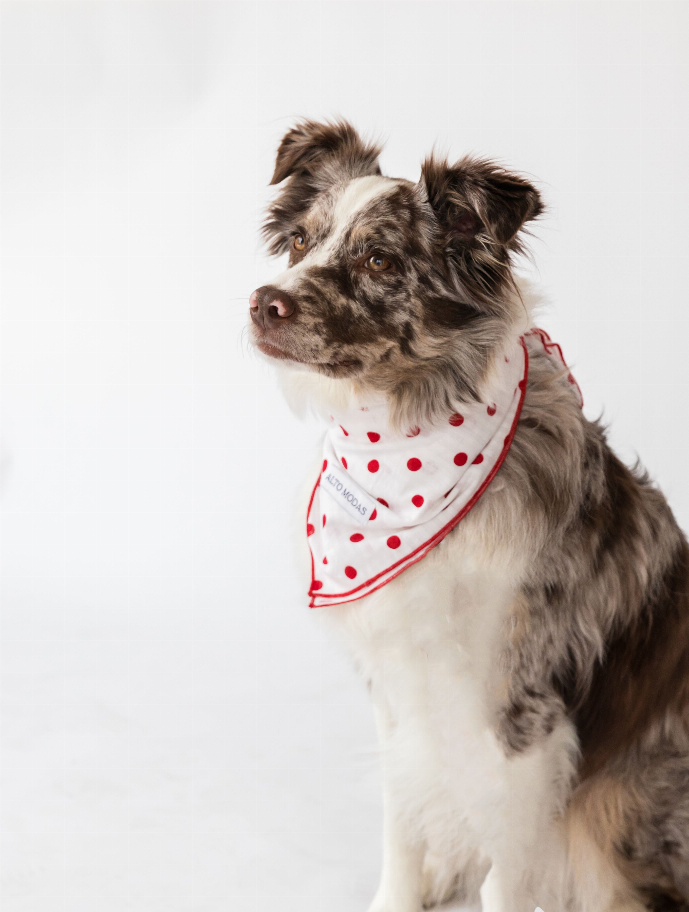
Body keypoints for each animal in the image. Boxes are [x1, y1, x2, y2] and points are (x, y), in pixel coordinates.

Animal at [246, 121, 688, 912]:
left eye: (379, 258)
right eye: (299, 241)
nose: (264, 302)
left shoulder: (521, 706)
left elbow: (508, 870)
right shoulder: (397, 688)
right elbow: (402, 823)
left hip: (616, 804)